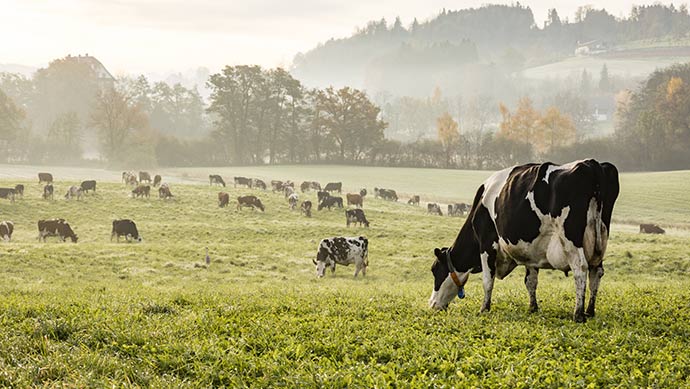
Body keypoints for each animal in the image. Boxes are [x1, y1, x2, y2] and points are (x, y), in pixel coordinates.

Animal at [424, 158, 620, 322]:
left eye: (435, 270)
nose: (432, 304)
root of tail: (591, 163)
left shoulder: (486, 243)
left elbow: (487, 280)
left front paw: (484, 308)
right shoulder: (531, 250)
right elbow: (530, 281)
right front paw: (533, 307)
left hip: (571, 240)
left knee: (580, 269)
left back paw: (578, 313)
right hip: (600, 241)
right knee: (596, 272)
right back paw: (590, 311)